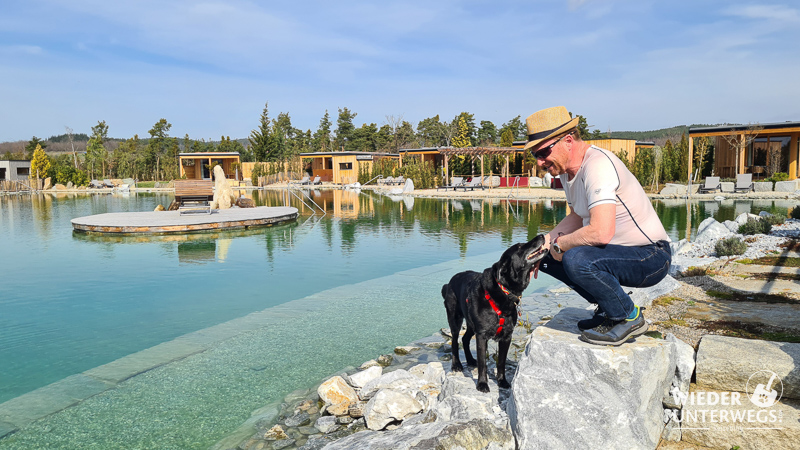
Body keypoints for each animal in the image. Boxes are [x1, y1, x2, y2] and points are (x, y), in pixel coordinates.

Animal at [440, 236, 548, 394]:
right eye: (520, 247)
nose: (542, 236)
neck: (504, 291)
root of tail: (448, 283)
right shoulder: (481, 336)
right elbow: (483, 364)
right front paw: (482, 384)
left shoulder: (506, 336)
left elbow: (501, 362)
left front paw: (502, 381)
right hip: (455, 319)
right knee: (455, 341)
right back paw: (457, 365)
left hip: (471, 323)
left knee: (465, 339)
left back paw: (470, 360)